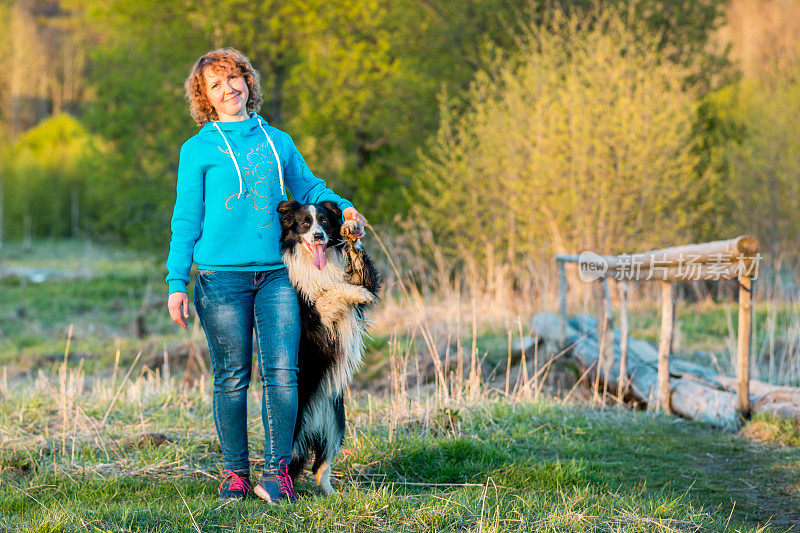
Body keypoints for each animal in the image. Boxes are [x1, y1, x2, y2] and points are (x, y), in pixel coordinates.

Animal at [278, 201, 382, 494]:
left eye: (324, 221)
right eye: (304, 223)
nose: (318, 236)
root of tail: (312, 427)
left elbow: (362, 271)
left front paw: (352, 230)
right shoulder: (314, 317)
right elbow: (330, 293)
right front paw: (357, 293)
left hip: (336, 424)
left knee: (319, 466)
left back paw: (332, 495)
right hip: (297, 424)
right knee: (293, 462)